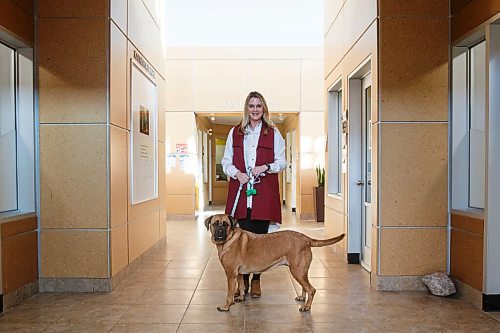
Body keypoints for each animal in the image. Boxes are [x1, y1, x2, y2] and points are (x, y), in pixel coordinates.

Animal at [205, 213, 346, 312]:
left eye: (225, 224)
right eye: (215, 224)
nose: (220, 232)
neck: (229, 239)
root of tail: (306, 239)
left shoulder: (230, 274)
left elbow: (229, 293)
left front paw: (226, 306)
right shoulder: (238, 273)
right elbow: (241, 286)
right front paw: (241, 297)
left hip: (297, 271)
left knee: (311, 289)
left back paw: (306, 307)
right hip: (300, 271)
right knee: (305, 286)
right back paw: (302, 298)